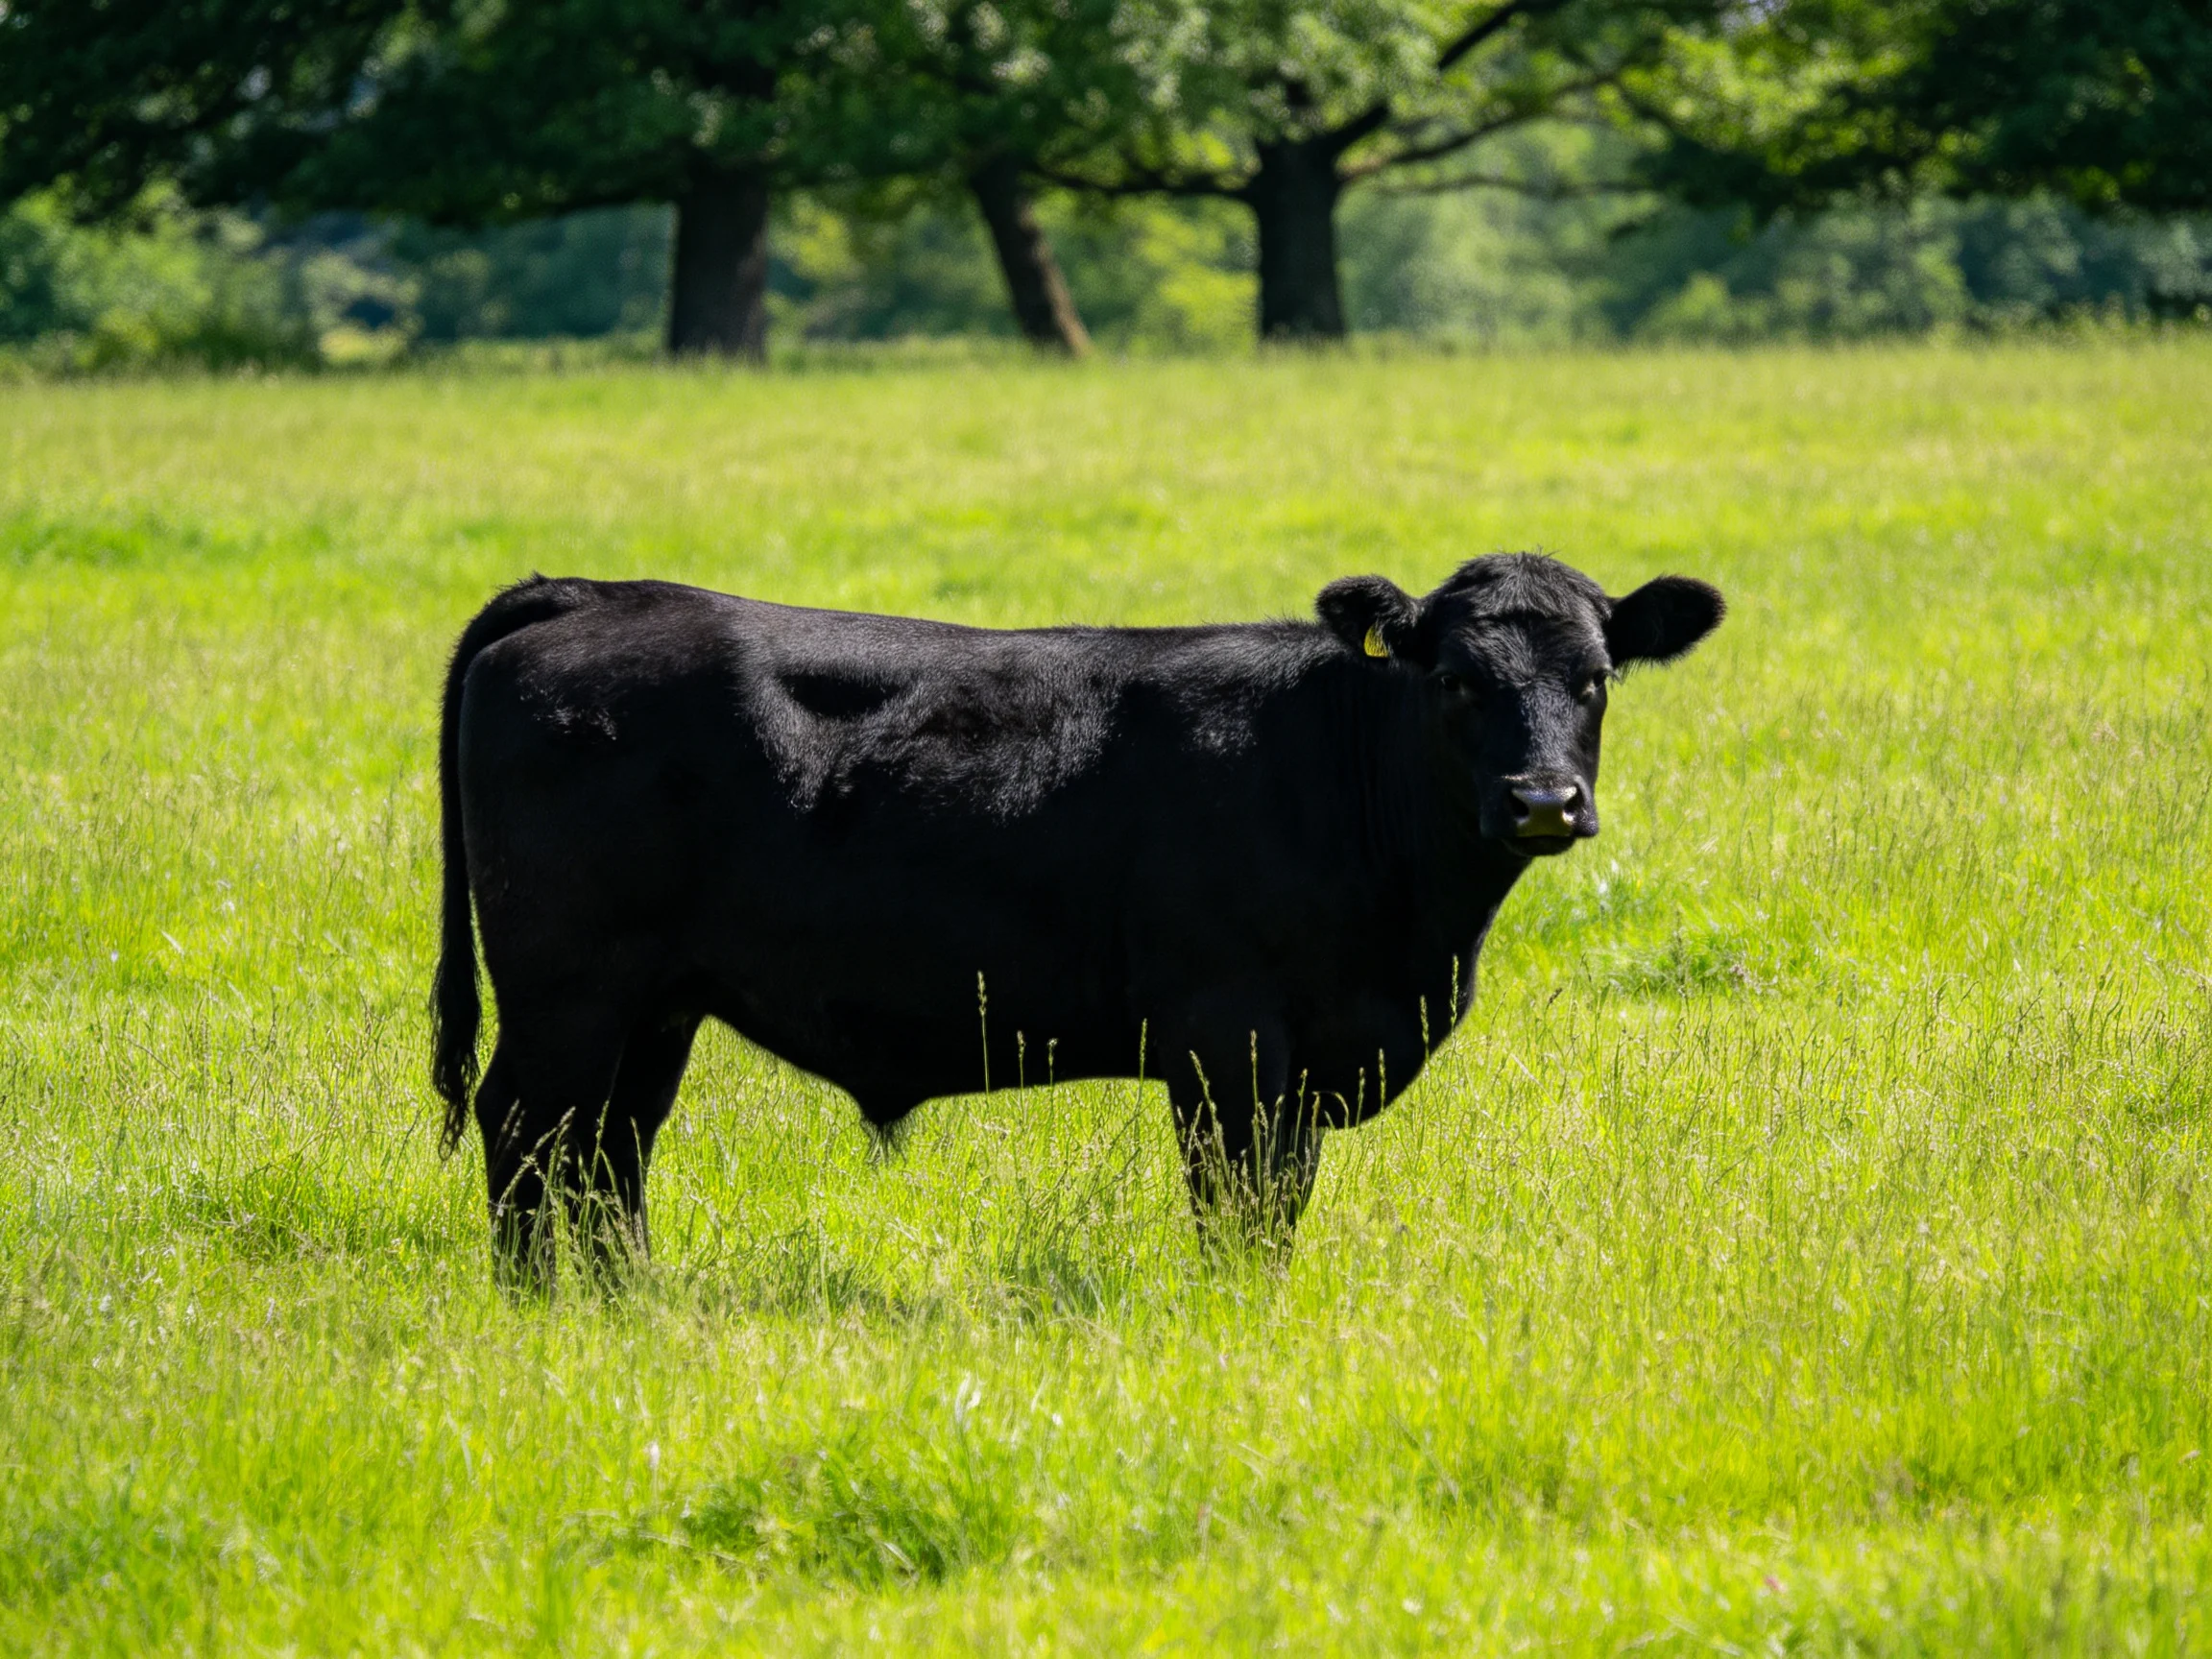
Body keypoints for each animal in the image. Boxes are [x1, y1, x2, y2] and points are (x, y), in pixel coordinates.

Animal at [430, 553, 1723, 1283]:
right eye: (1456, 679)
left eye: (1597, 679)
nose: (1546, 801)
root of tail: (594, 594)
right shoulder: (1227, 1037)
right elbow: (1241, 1201)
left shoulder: (1305, 1056)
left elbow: (1280, 1196)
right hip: (568, 991)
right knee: (528, 1130)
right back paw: (541, 1309)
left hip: (655, 1004)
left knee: (608, 1149)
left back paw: (626, 1305)